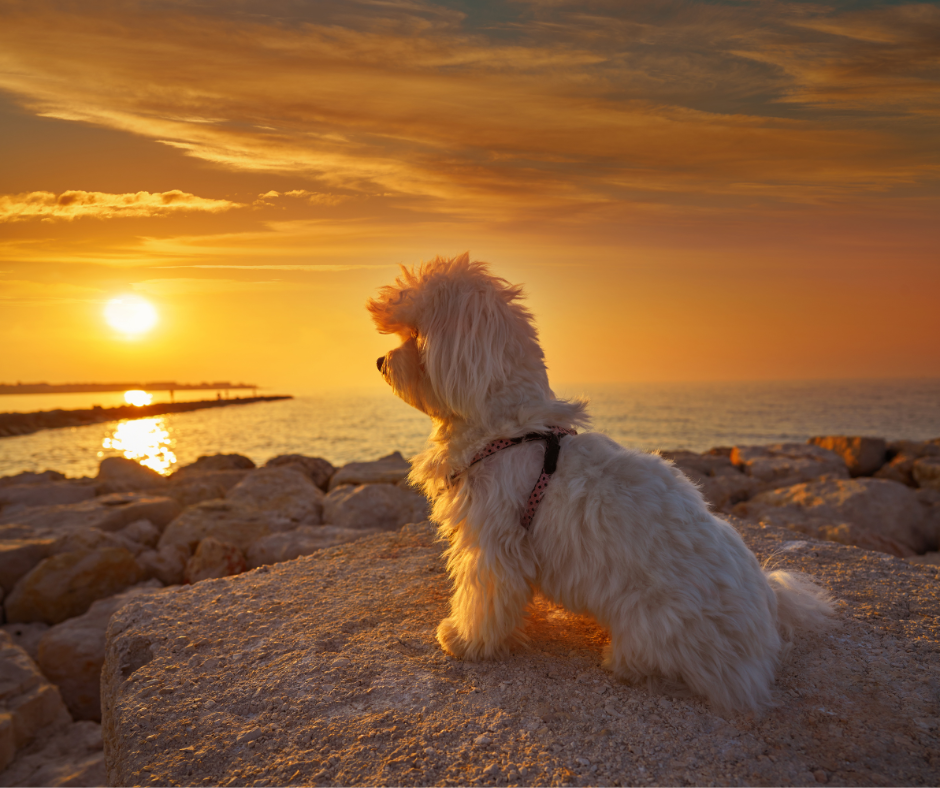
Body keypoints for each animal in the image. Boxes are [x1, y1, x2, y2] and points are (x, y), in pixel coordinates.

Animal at [368, 252, 828, 716]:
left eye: (416, 335)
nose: (379, 362)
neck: (504, 428)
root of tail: (765, 629)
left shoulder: (492, 544)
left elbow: (483, 598)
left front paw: (465, 639)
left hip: (654, 625)